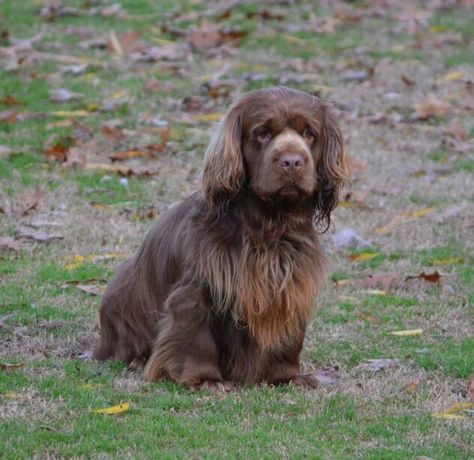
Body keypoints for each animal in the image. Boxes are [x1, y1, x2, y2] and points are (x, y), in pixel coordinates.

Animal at [95, 86, 348, 388]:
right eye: (263, 133)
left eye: (310, 133)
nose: (292, 161)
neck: (268, 224)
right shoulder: (197, 290)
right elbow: (196, 336)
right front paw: (204, 379)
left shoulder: (290, 283)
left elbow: (287, 337)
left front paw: (285, 376)